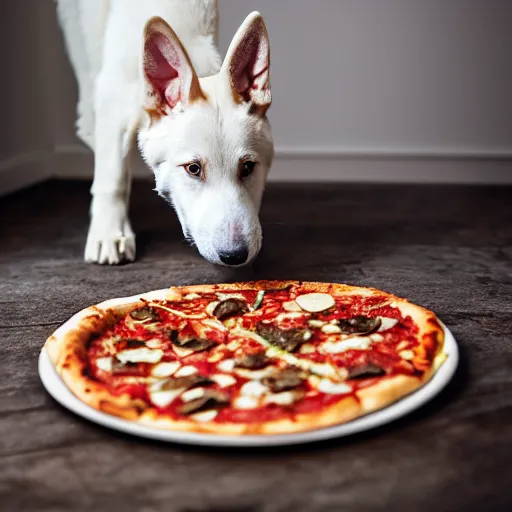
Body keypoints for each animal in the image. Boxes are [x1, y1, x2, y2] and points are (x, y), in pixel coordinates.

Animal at [54, 1, 274, 268]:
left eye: (248, 167)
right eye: (193, 169)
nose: (235, 256)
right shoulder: (113, 99)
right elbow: (114, 177)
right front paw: (109, 233)